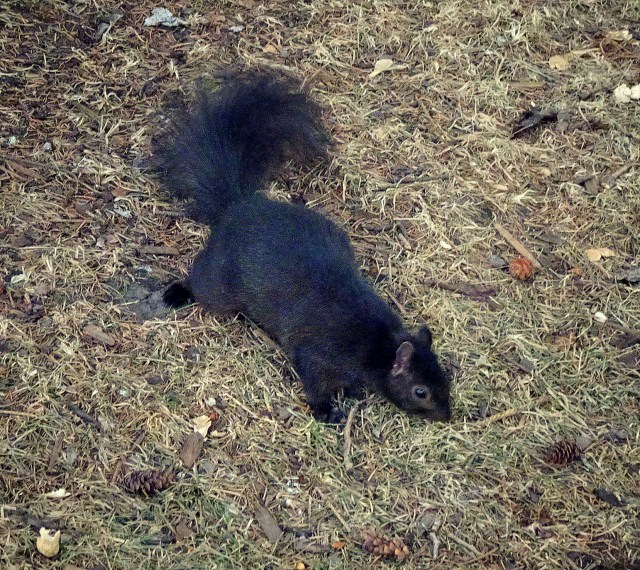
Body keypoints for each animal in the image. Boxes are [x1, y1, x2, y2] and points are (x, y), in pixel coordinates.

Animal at [152, 70, 452, 423]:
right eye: (420, 391)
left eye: (445, 376)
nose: (448, 414)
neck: (377, 346)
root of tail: (240, 207)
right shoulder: (318, 354)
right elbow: (313, 381)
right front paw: (327, 411)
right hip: (220, 284)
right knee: (201, 281)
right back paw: (178, 293)